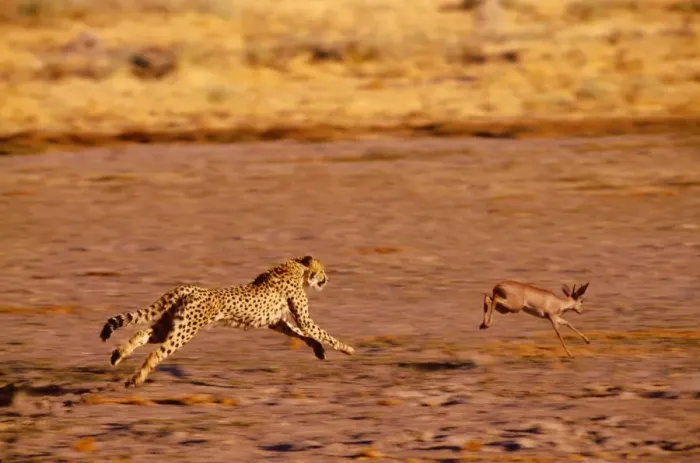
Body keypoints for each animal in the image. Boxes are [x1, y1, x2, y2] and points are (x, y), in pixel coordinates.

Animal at [99, 255, 355, 387]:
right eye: (322, 271)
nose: (327, 279)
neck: (298, 268)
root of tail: (188, 288)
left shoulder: (276, 321)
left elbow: (301, 334)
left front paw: (319, 350)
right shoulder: (302, 318)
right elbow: (319, 332)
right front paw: (347, 349)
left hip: (171, 325)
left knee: (142, 333)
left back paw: (118, 355)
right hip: (185, 331)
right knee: (156, 352)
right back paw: (136, 378)